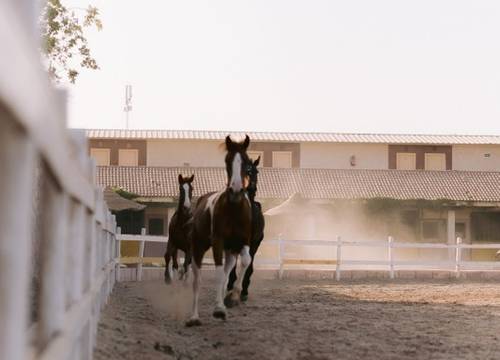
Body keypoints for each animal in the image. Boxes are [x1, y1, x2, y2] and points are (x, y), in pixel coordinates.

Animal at [186, 135, 252, 326]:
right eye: (227, 161)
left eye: (247, 161)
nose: (236, 190)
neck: (234, 209)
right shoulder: (218, 241)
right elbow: (218, 274)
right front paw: (218, 309)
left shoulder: (242, 242)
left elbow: (246, 261)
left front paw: (232, 297)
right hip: (198, 247)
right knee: (197, 280)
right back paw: (194, 317)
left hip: (230, 251)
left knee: (227, 271)